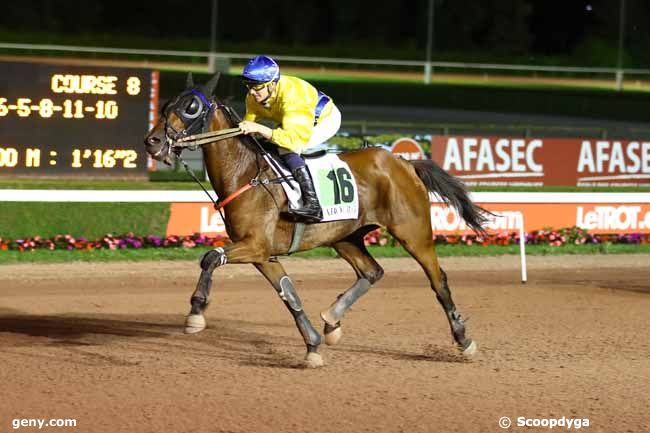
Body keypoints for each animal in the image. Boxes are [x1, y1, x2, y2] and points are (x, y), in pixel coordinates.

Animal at [142, 72, 486, 366]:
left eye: (191, 107)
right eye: (166, 104)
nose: (153, 142)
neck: (245, 173)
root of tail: (404, 162)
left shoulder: (254, 245)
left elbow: (210, 257)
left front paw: (196, 312)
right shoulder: (262, 253)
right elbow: (288, 293)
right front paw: (312, 346)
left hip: (413, 232)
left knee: (438, 281)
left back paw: (464, 340)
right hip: (345, 236)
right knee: (372, 272)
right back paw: (332, 320)